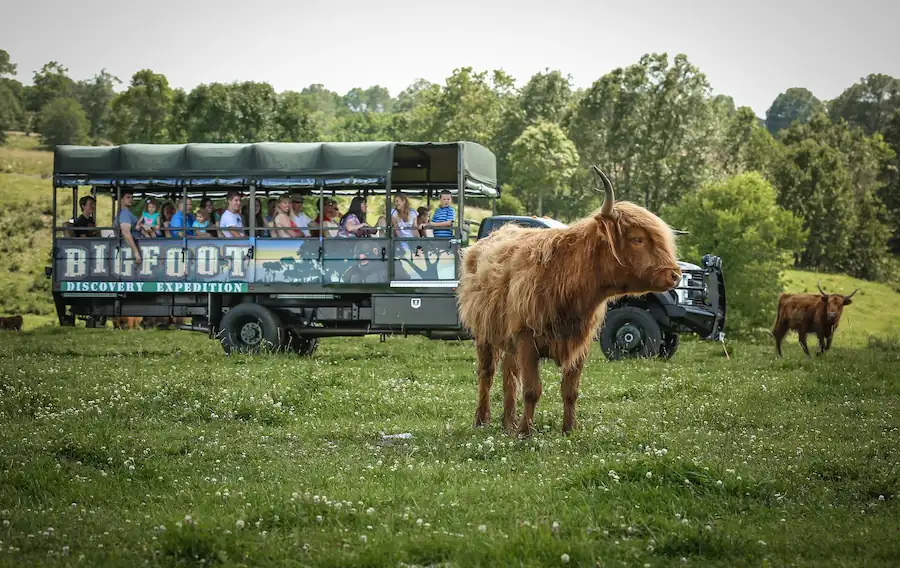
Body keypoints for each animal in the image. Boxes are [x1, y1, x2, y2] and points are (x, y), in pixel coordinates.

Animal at [458, 166, 684, 438]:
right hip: (484, 334)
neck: (565, 279)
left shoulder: (579, 343)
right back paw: (482, 420)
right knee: (487, 374)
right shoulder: (526, 338)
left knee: (509, 376)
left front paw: (568, 429)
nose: (675, 274)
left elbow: (570, 391)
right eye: (637, 239)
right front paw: (525, 432)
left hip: (508, 337)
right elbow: (532, 390)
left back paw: (508, 423)